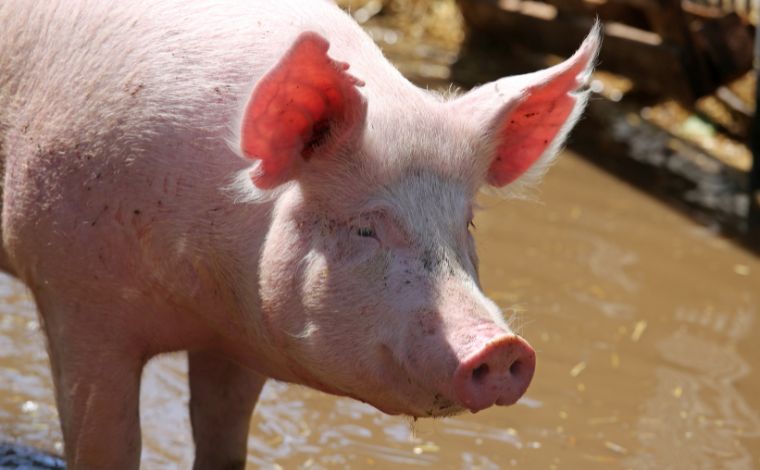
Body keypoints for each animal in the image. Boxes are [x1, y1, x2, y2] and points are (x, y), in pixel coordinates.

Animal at [0, 0, 600, 466]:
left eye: (467, 223)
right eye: (365, 227)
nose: (501, 346)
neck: (201, 294)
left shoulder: (238, 344)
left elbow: (224, 445)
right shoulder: (76, 300)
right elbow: (107, 448)